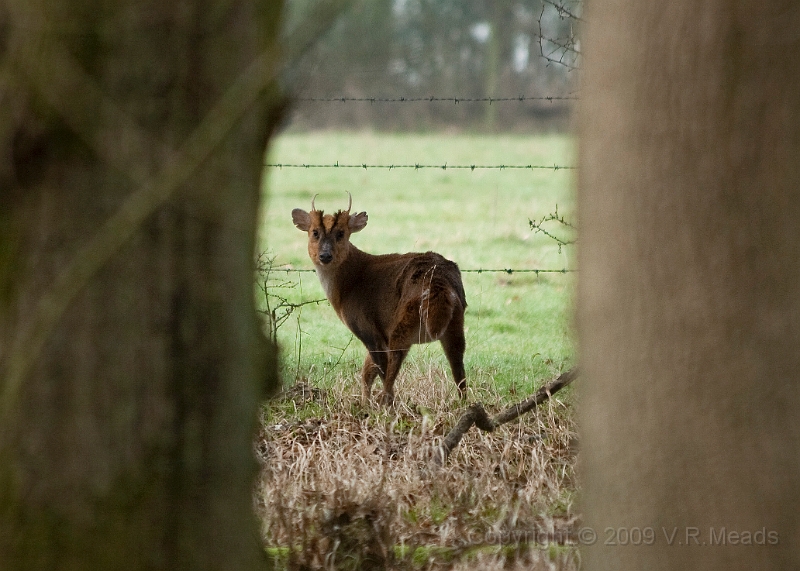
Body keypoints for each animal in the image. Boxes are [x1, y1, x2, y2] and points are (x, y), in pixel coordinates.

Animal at [292, 193, 467, 405]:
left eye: (341, 233)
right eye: (315, 232)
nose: (325, 256)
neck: (348, 285)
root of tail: (438, 284)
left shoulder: (367, 327)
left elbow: (375, 370)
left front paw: (368, 405)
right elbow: (367, 372)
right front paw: (365, 403)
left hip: (403, 321)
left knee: (392, 372)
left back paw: (388, 403)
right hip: (456, 320)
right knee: (459, 371)